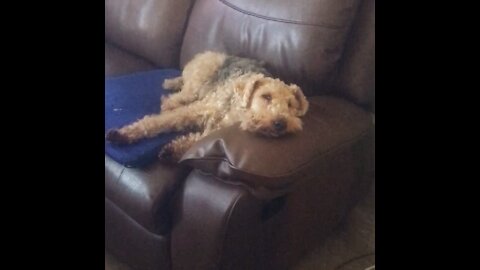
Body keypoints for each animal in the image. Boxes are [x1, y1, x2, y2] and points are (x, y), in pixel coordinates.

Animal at [105, 50, 310, 161]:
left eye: (290, 104)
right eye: (266, 96)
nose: (281, 123)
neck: (236, 113)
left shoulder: (213, 131)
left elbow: (195, 139)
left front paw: (171, 150)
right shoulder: (196, 110)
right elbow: (154, 122)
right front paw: (122, 134)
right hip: (196, 85)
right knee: (174, 98)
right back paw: (169, 99)